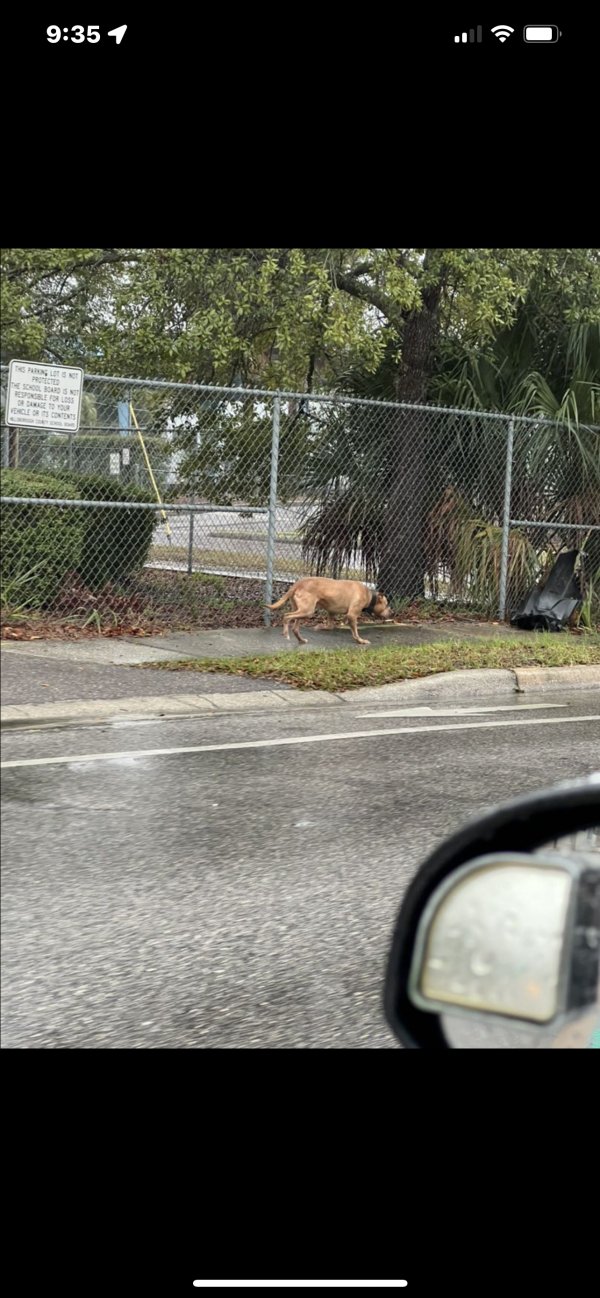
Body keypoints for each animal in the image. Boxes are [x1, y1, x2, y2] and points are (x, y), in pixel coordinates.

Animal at [264, 578, 392, 643]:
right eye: (386, 604)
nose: (391, 612)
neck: (369, 596)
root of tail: (299, 583)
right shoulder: (352, 615)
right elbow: (355, 632)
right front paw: (361, 640)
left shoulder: (331, 612)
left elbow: (330, 626)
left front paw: (320, 627)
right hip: (307, 610)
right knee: (286, 616)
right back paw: (286, 633)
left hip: (302, 611)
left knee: (295, 628)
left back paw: (301, 639)